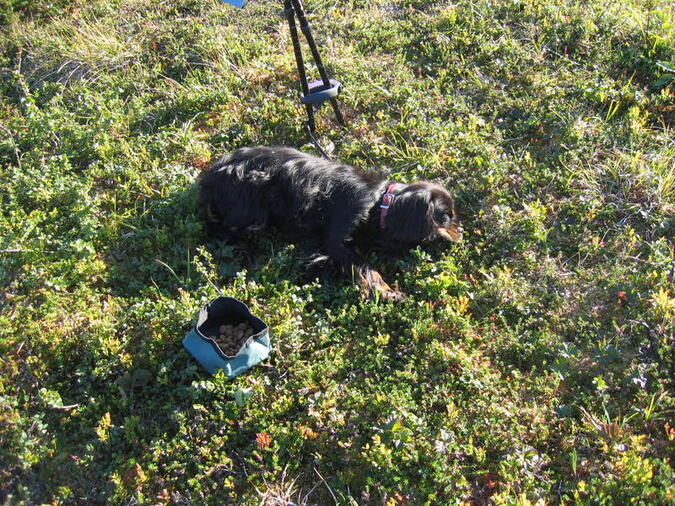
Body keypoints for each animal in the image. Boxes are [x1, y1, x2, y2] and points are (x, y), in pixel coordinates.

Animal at [198, 146, 462, 301]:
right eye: (446, 216)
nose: (461, 231)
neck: (380, 203)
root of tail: (209, 175)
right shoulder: (336, 240)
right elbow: (366, 267)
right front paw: (388, 291)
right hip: (251, 208)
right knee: (222, 231)